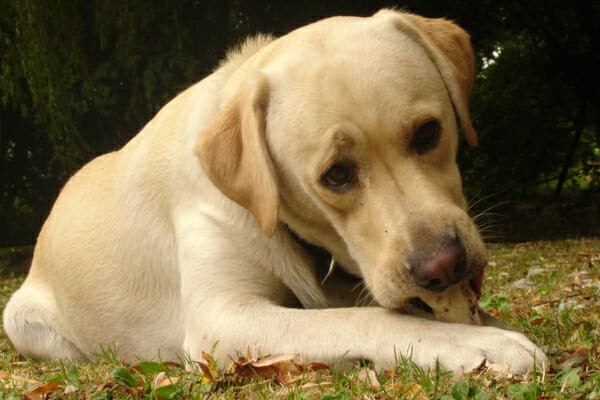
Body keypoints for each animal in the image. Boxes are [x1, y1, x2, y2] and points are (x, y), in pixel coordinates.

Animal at [3, 8, 544, 376]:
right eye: (336, 175)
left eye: (429, 133)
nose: (443, 266)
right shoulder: (221, 318)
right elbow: (364, 318)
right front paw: (477, 345)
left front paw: (487, 326)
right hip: (21, 320)